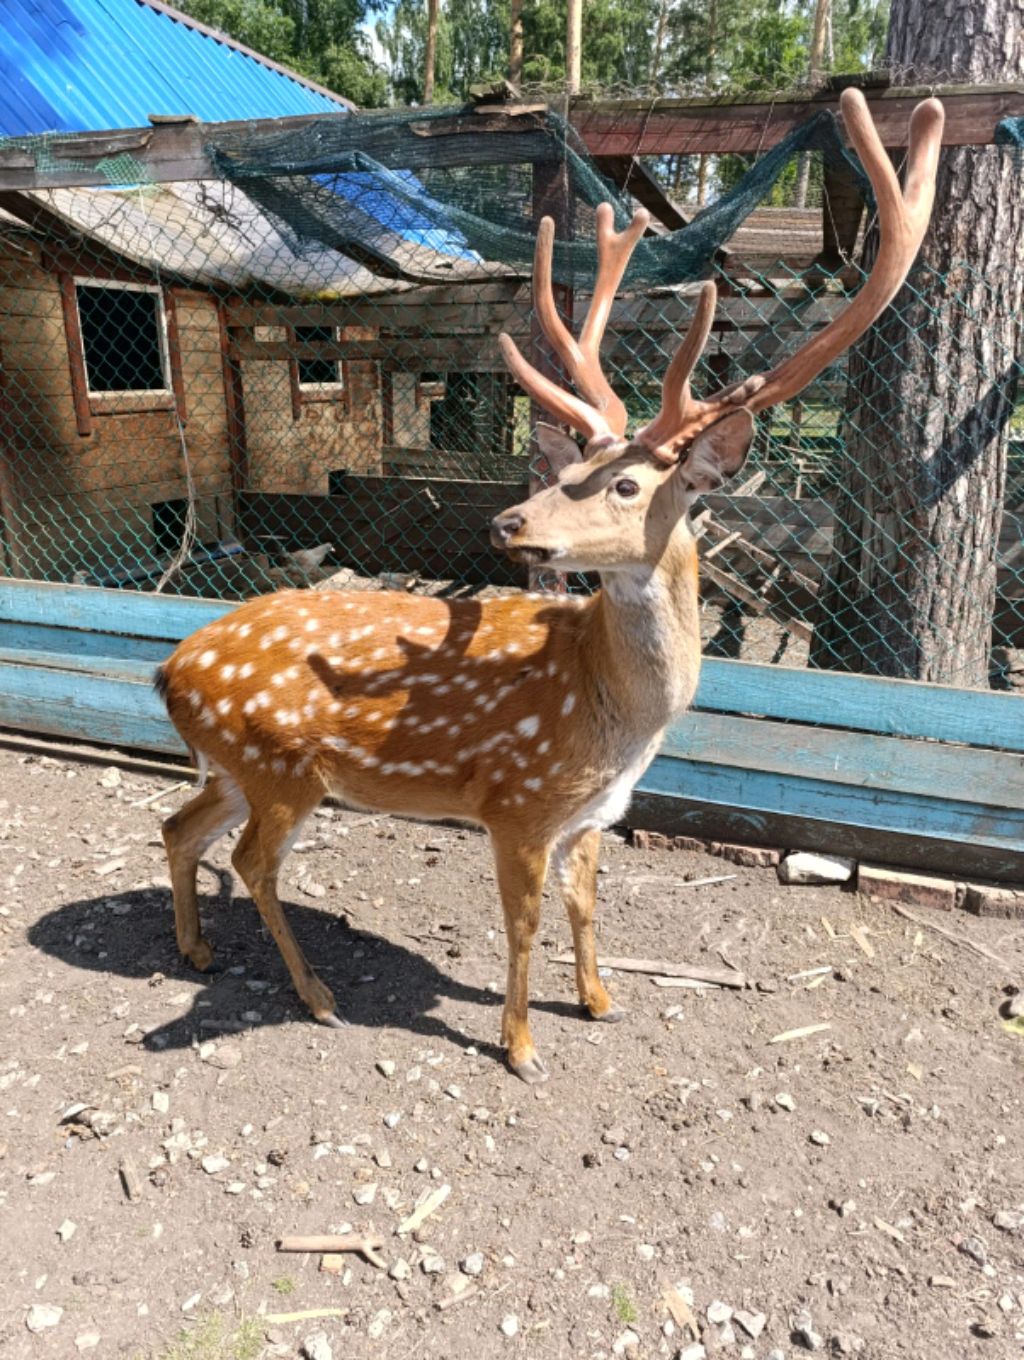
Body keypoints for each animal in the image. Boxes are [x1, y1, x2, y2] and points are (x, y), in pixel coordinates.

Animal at [155, 89, 943, 1083]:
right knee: (254, 863)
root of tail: (166, 671)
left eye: (627, 484)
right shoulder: (517, 802)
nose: (508, 523)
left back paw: (196, 949)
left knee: (179, 828)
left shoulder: (594, 814)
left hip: (231, 765)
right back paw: (316, 994)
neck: (618, 723)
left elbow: (584, 904)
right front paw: (522, 1047)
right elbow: (524, 924)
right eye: (574, 467)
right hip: (280, 767)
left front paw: (601, 1002)